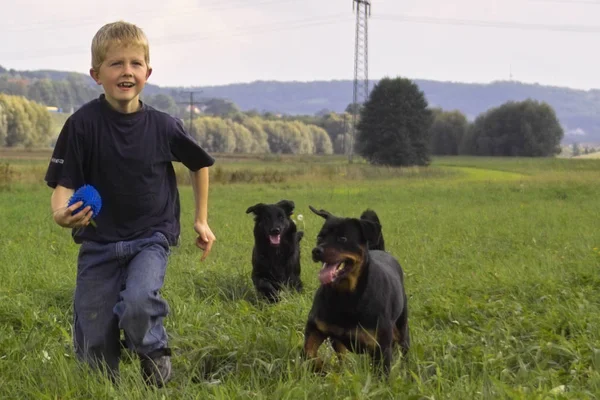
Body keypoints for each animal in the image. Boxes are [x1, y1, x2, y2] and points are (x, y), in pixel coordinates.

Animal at [302, 206, 410, 376]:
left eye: (343, 239)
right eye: (319, 237)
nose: (316, 251)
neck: (346, 295)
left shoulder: (381, 348)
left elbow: (382, 374)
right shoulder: (316, 327)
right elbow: (309, 352)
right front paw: (323, 368)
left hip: (402, 328)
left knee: (404, 349)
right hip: (338, 340)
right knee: (343, 356)